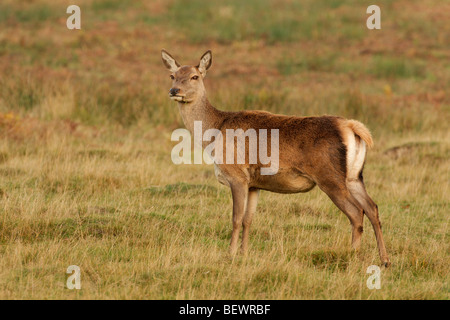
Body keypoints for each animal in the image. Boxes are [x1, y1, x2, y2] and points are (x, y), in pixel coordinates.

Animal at [161, 48, 390, 266]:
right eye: (172, 75)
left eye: (194, 76)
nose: (174, 91)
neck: (214, 132)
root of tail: (351, 127)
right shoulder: (254, 184)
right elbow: (248, 220)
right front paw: (244, 253)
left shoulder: (237, 175)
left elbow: (235, 218)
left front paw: (230, 254)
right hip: (354, 176)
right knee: (372, 208)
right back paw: (384, 260)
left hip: (330, 177)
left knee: (356, 212)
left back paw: (353, 255)